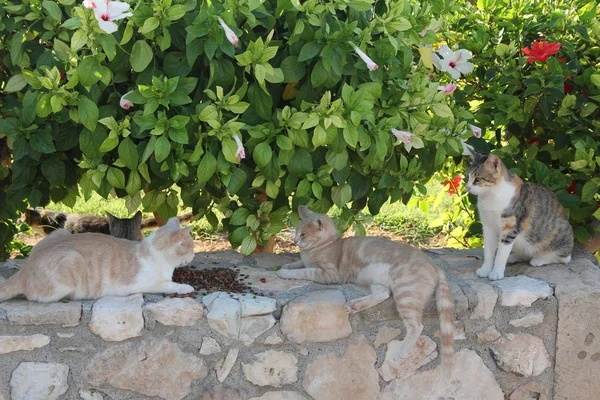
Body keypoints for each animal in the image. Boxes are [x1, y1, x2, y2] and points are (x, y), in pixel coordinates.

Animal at [0, 217, 196, 302]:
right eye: (192, 247)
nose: (194, 255)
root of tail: (24, 270)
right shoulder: (147, 284)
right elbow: (169, 285)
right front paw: (185, 286)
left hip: (60, 232)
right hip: (71, 261)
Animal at [276, 206, 454, 366]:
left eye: (303, 234)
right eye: (296, 232)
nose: (294, 241)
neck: (328, 245)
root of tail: (434, 266)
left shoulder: (329, 273)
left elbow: (305, 271)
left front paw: (284, 272)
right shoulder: (308, 263)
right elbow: (299, 264)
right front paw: (286, 266)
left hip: (405, 293)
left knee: (416, 326)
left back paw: (402, 351)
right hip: (378, 283)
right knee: (383, 294)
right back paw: (354, 305)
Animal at [466, 153, 576, 282]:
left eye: (477, 179)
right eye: (467, 177)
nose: (467, 187)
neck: (491, 195)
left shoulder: (509, 228)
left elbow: (501, 255)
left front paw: (496, 273)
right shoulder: (488, 226)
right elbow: (488, 251)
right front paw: (485, 270)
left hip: (559, 234)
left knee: (564, 257)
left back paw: (540, 259)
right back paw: (513, 257)